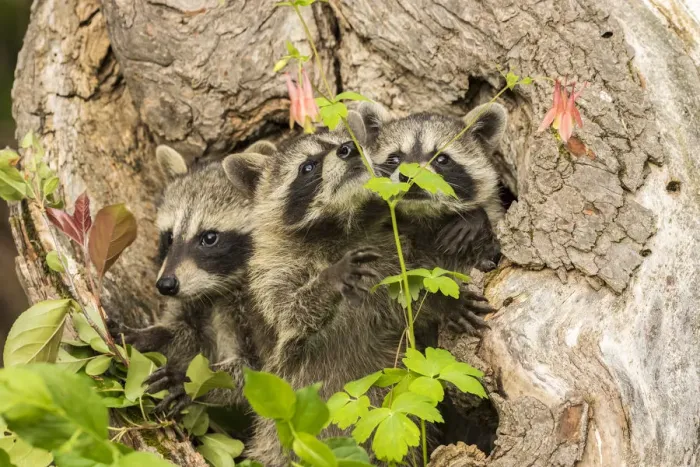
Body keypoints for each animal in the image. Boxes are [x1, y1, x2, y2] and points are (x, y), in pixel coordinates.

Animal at [108, 141, 276, 416]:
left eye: (209, 238)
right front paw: (151, 336)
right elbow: (185, 335)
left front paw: (191, 379)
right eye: (169, 237)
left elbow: (255, 374)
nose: (166, 285)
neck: (218, 291)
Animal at [372, 103, 508, 334]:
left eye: (442, 159)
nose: (410, 176)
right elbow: (390, 288)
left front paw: (474, 219)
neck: (425, 215)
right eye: (394, 158)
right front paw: (445, 302)